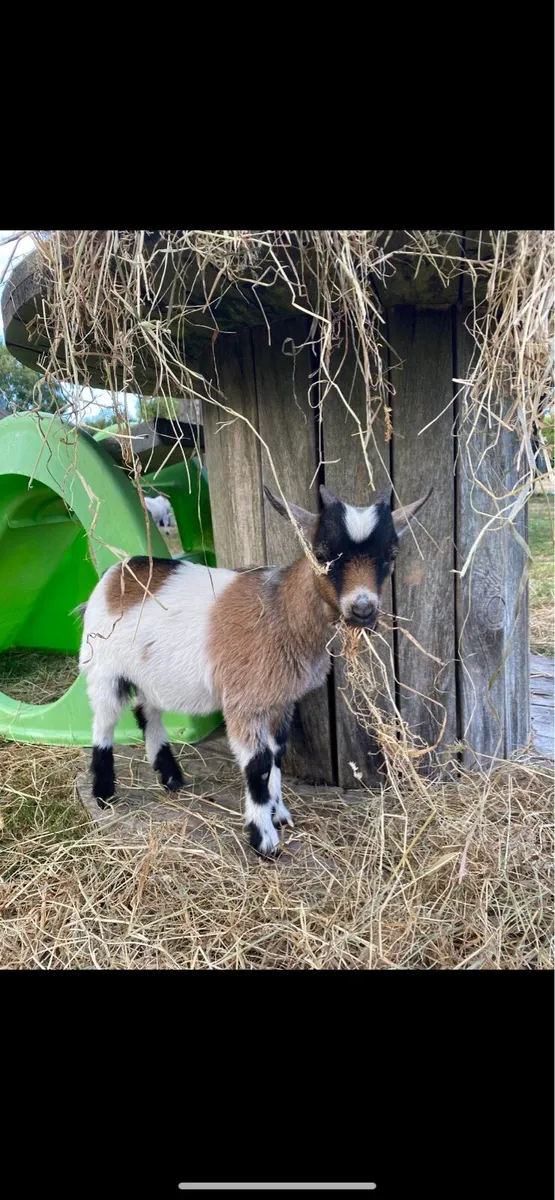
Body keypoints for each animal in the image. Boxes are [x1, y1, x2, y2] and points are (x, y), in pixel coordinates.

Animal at [78, 483, 431, 854]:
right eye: (322, 554)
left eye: (391, 556)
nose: (363, 608)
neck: (281, 611)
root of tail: (118, 570)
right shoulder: (244, 701)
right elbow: (258, 764)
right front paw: (264, 839)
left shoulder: (279, 701)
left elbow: (276, 755)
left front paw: (280, 814)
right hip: (104, 671)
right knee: (103, 724)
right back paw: (103, 792)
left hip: (150, 674)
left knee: (148, 713)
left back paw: (171, 778)